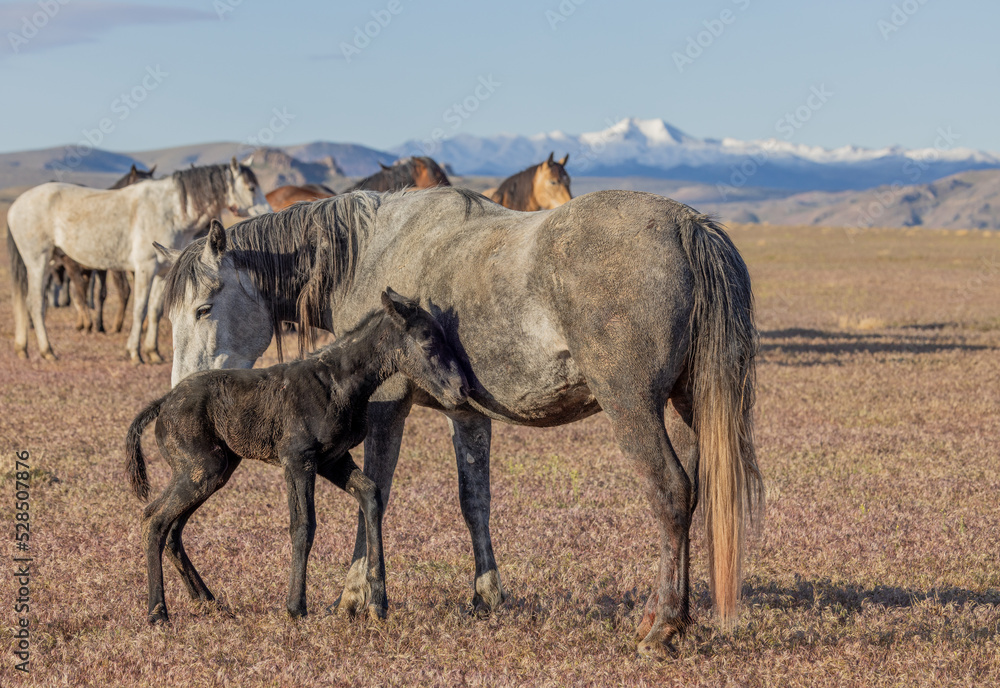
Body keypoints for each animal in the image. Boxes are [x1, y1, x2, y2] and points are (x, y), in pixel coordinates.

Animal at [125, 286, 468, 624]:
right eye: (428, 341)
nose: (461, 390)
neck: (337, 384)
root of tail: (163, 402)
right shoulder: (298, 459)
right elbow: (303, 524)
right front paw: (295, 606)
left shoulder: (333, 459)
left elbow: (371, 494)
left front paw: (378, 604)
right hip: (200, 469)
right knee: (154, 519)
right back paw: (158, 611)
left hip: (214, 471)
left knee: (172, 527)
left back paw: (208, 601)